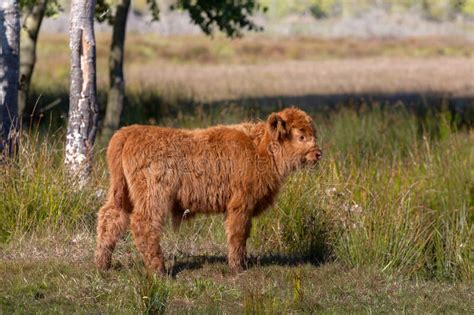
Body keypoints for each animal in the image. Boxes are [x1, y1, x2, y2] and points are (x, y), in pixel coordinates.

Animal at [94, 108, 322, 274]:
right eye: (301, 136)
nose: (318, 153)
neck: (259, 149)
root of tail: (127, 132)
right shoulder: (241, 203)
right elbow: (238, 233)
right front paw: (238, 266)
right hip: (153, 195)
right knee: (144, 224)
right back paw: (159, 269)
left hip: (122, 194)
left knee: (110, 218)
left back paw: (103, 264)